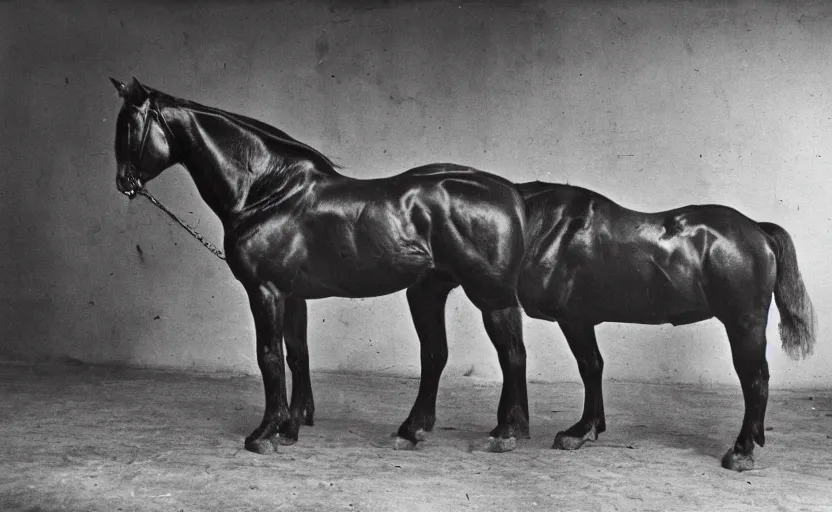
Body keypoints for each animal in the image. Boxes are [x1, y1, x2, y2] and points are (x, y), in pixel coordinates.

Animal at [109, 78, 532, 454]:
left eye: (129, 127)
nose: (123, 183)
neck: (270, 192)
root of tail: (510, 193)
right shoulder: (293, 296)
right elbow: (297, 355)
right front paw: (289, 428)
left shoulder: (266, 292)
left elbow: (269, 356)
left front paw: (264, 433)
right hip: (429, 291)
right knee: (438, 355)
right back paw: (414, 431)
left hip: (489, 296)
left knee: (511, 354)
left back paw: (504, 434)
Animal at [516, 181, 816, 472]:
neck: (553, 226)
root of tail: (759, 231)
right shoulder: (583, 321)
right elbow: (595, 366)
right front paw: (593, 427)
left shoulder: (574, 320)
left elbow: (588, 368)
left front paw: (578, 432)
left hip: (744, 324)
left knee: (754, 380)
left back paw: (742, 451)